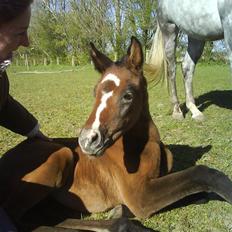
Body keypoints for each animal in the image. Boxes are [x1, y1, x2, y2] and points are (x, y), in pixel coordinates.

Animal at [0, 37, 232, 231]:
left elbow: (200, 192)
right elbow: (202, 174)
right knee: (21, 219)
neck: (145, 144)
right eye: (94, 92)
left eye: (128, 95)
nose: (87, 141)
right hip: (60, 156)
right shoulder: (141, 196)